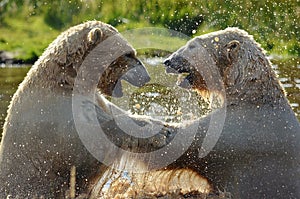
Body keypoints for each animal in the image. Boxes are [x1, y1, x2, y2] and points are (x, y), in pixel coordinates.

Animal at [0, 21, 176, 198]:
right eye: (128, 54)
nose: (146, 76)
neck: (64, 80)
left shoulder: (94, 99)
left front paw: (160, 124)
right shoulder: (55, 115)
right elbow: (88, 141)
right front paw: (160, 133)